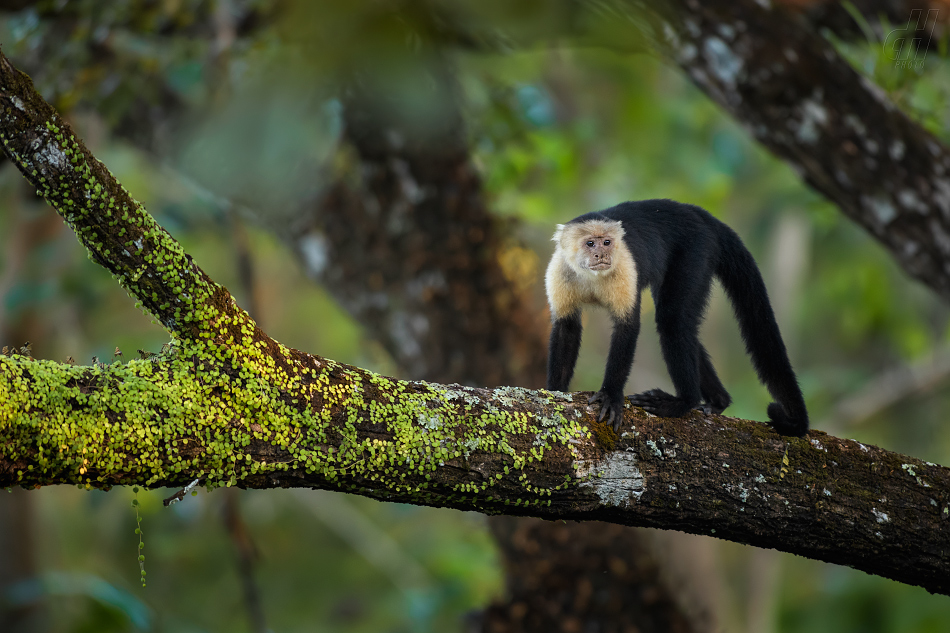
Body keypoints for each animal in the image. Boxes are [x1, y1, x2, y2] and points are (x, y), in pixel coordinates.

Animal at [544, 200, 812, 436]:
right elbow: (567, 328)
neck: (592, 277)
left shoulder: (625, 268)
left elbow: (627, 327)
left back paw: (684, 402)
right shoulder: (560, 270)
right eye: (590, 243)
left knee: (673, 321)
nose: (602, 254)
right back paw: (718, 401)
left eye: (607, 242)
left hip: (696, 250)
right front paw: (555, 393)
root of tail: (694, 212)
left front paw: (610, 395)